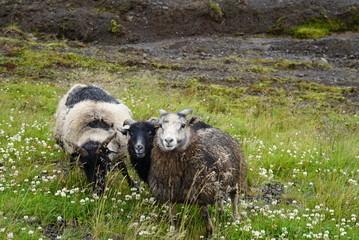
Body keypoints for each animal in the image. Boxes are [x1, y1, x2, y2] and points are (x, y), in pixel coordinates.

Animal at [148, 109, 248, 237]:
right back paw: (221, 212)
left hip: (236, 178)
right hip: (217, 182)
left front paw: (210, 233)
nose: (168, 140)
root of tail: (216, 129)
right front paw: (174, 232)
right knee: (219, 198)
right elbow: (173, 217)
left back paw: (236, 218)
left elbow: (205, 215)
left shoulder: (202, 192)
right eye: (160, 125)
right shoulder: (169, 195)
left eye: (183, 125)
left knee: (234, 198)